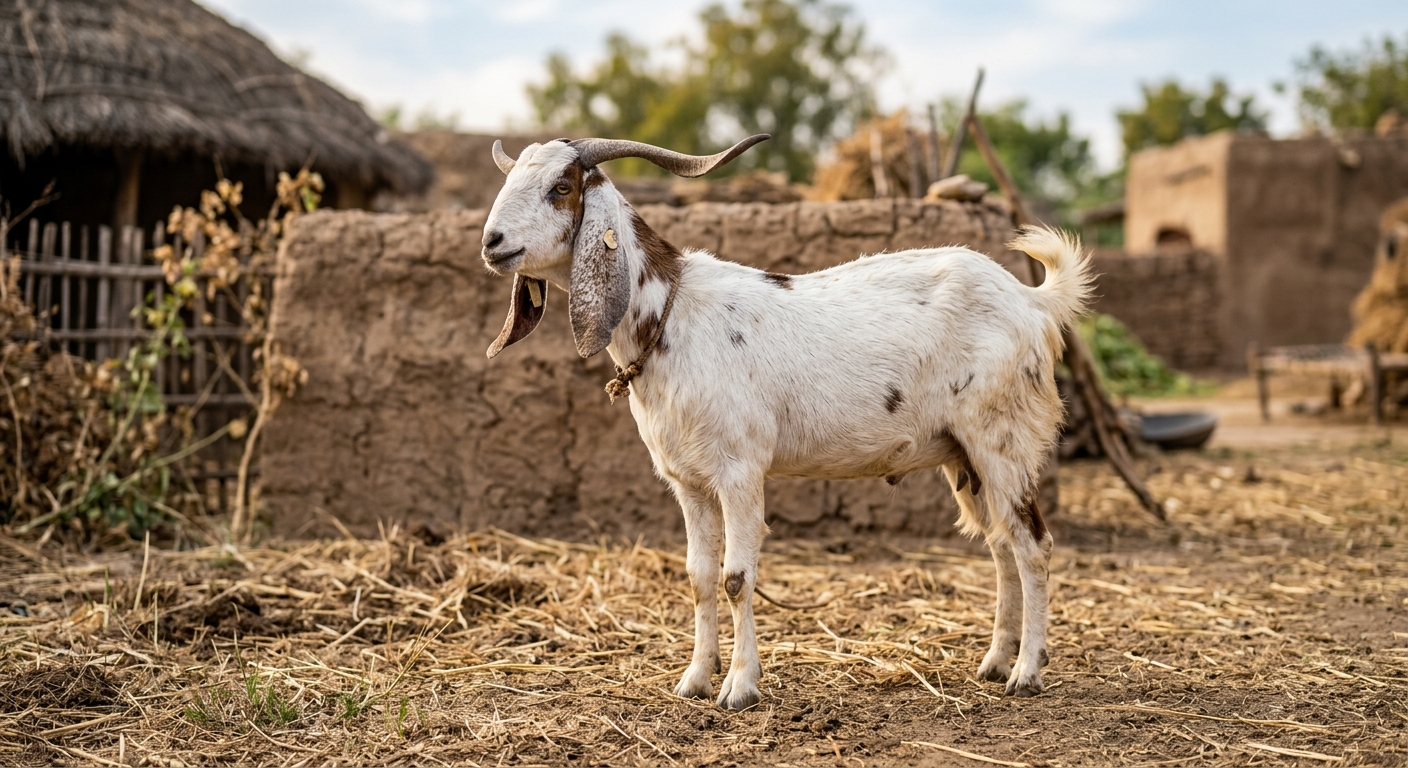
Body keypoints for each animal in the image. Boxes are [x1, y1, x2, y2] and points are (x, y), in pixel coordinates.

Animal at [480, 135, 1092, 709]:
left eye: (561, 187)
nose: (492, 242)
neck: (672, 315)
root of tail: (1033, 301)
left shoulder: (740, 471)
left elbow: (735, 577)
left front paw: (739, 686)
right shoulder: (688, 482)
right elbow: (699, 577)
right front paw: (695, 679)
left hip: (1003, 442)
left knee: (1033, 545)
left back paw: (1026, 672)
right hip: (965, 457)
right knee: (1001, 546)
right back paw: (993, 661)